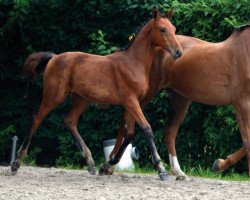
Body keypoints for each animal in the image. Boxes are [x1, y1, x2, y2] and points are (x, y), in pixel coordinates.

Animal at [10, 7, 183, 181]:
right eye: (162, 29)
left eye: (174, 29)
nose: (178, 52)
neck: (133, 63)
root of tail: (54, 57)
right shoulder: (130, 101)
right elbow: (146, 129)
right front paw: (161, 170)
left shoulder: (134, 103)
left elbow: (129, 134)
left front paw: (107, 165)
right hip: (54, 96)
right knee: (36, 118)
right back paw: (16, 163)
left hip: (81, 99)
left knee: (70, 121)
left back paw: (91, 163)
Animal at [109, 24, 250, 179]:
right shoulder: (242, 104)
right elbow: (247, 141)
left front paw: (218, 164)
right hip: (144, 94)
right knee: (126, 118)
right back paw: (109, 165)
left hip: (181, 100)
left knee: (169, 131)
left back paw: (178, 171)